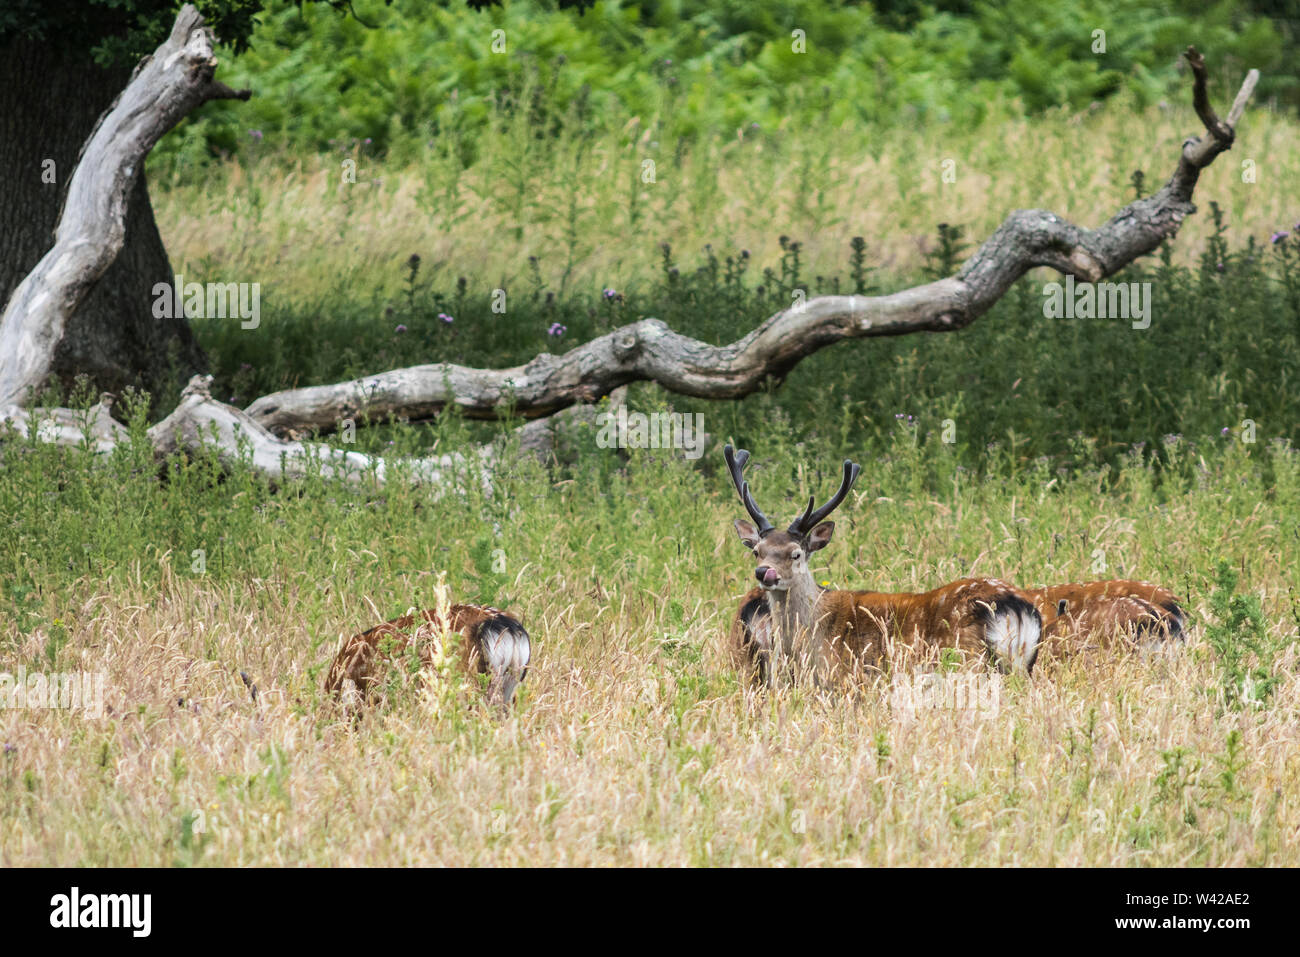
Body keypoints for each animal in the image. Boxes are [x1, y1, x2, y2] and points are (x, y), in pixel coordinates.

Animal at [723, 445, 1042, 688]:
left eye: (796, 553)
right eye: (757, 551)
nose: (764, 573)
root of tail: (1015, 606)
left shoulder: (845, 679)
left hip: (968, 661)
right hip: (1020, 665)